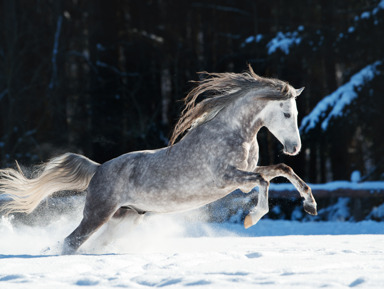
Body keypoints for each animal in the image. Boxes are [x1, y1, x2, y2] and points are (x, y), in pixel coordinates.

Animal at [0, 64, 316, 252]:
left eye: (295, 112)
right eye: (286, 113)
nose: (294, 147)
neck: (233, 133)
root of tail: (99, 168)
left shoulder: (243, 178)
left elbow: (282, 170)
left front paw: (310, 204)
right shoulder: (228, 178)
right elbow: (264, 181)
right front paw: (252, 218)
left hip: (124, 219)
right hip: (97, 215)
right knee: (69, 243)